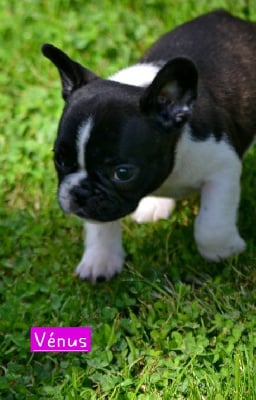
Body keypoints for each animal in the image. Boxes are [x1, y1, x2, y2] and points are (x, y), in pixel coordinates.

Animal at [42, 10, 256, 282]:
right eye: (59, 160)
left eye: (123, 173)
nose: (79, 193)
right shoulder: (99, 205)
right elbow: (100, 225)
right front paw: (100, 259)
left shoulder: (222, 169)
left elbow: (210, 226)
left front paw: (224, 251)